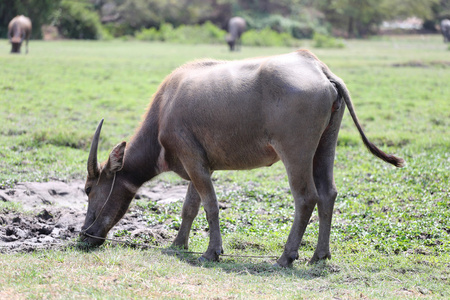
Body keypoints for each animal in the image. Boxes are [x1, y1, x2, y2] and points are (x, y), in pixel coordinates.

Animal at [78, 49, 404, 268]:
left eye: (89, 189)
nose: (84, 235)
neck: (165, 108)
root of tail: (319, 68)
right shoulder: (199, 167)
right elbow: (189, 208)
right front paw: (178, 244)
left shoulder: (194, 162)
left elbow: (210, 206)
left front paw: (212, 251)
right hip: (326, 146)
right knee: (328, 193)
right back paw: (319, 255)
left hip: (296, 152)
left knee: (306, 197)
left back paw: (286, 257)